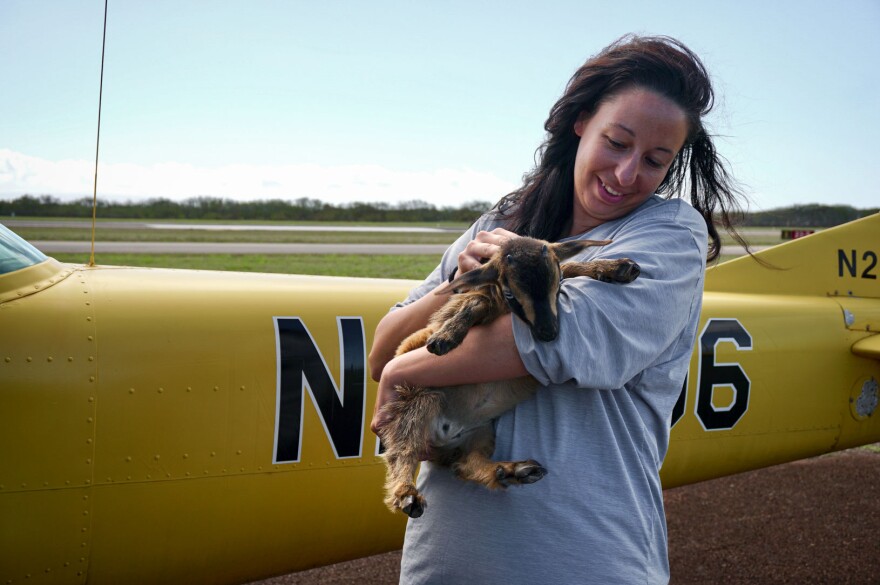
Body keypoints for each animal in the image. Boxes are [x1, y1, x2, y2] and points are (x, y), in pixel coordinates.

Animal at [378, 235, 640, 516]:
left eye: (557, 283)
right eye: (510, 292)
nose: (548, 332)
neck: (503, 307)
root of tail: (443, 437)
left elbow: (570, 267)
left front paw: (618, 268)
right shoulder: (474, 302)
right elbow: (476, 302)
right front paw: (446, 336)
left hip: (479, 432)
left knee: (466, 463)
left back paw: (512, 470)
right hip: (416, 399)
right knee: (402, 449)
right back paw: (408, 495)